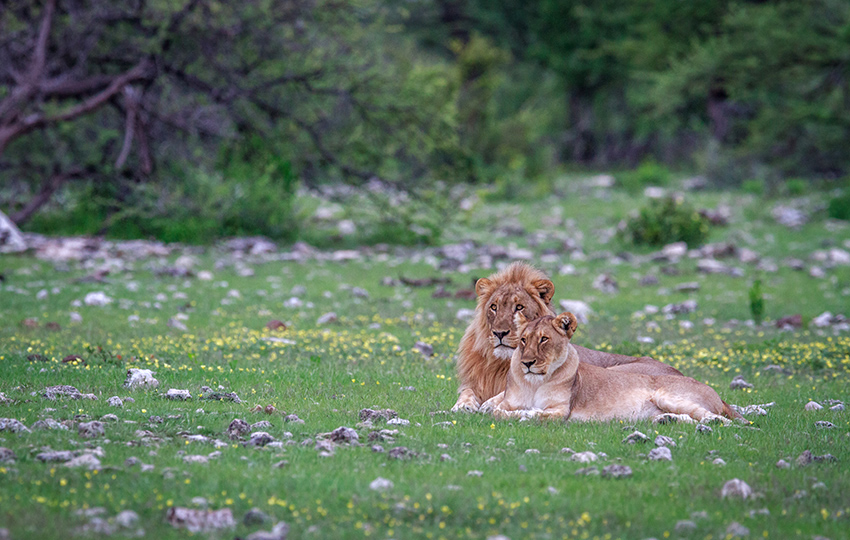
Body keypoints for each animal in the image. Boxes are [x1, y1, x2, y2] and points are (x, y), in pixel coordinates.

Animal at [450, 264, 684, 412]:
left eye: (519, 307)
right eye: (493, 307)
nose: (499, 333)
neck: (501, 362)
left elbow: (504, 394)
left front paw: (490, 404)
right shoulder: (473, 382)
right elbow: (466, 393)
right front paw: (462, 406)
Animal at [480, 312, 740, 426]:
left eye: (544, 339)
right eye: (523, 340)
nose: (527, 363)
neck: (535, 382)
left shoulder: (561, 410)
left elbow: (536, 412)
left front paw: (527, 414)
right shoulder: (508, 401)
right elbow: (497, 411)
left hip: (666, 395)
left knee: (716, 418)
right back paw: (666, 420)